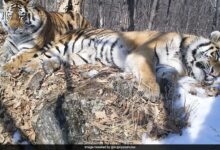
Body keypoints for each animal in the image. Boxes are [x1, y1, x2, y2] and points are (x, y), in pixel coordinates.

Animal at [4, 28, 218, 101]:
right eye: (218, 55)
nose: (215, 75)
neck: (182, 57)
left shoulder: (167, 67)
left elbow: (169, 75)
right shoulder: (144, 53)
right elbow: (148, 74)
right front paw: (151, 91)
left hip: (77, 57)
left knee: (55, 61)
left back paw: (45, 68)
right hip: (62, 46)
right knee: (38, 57)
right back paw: (27, 67)